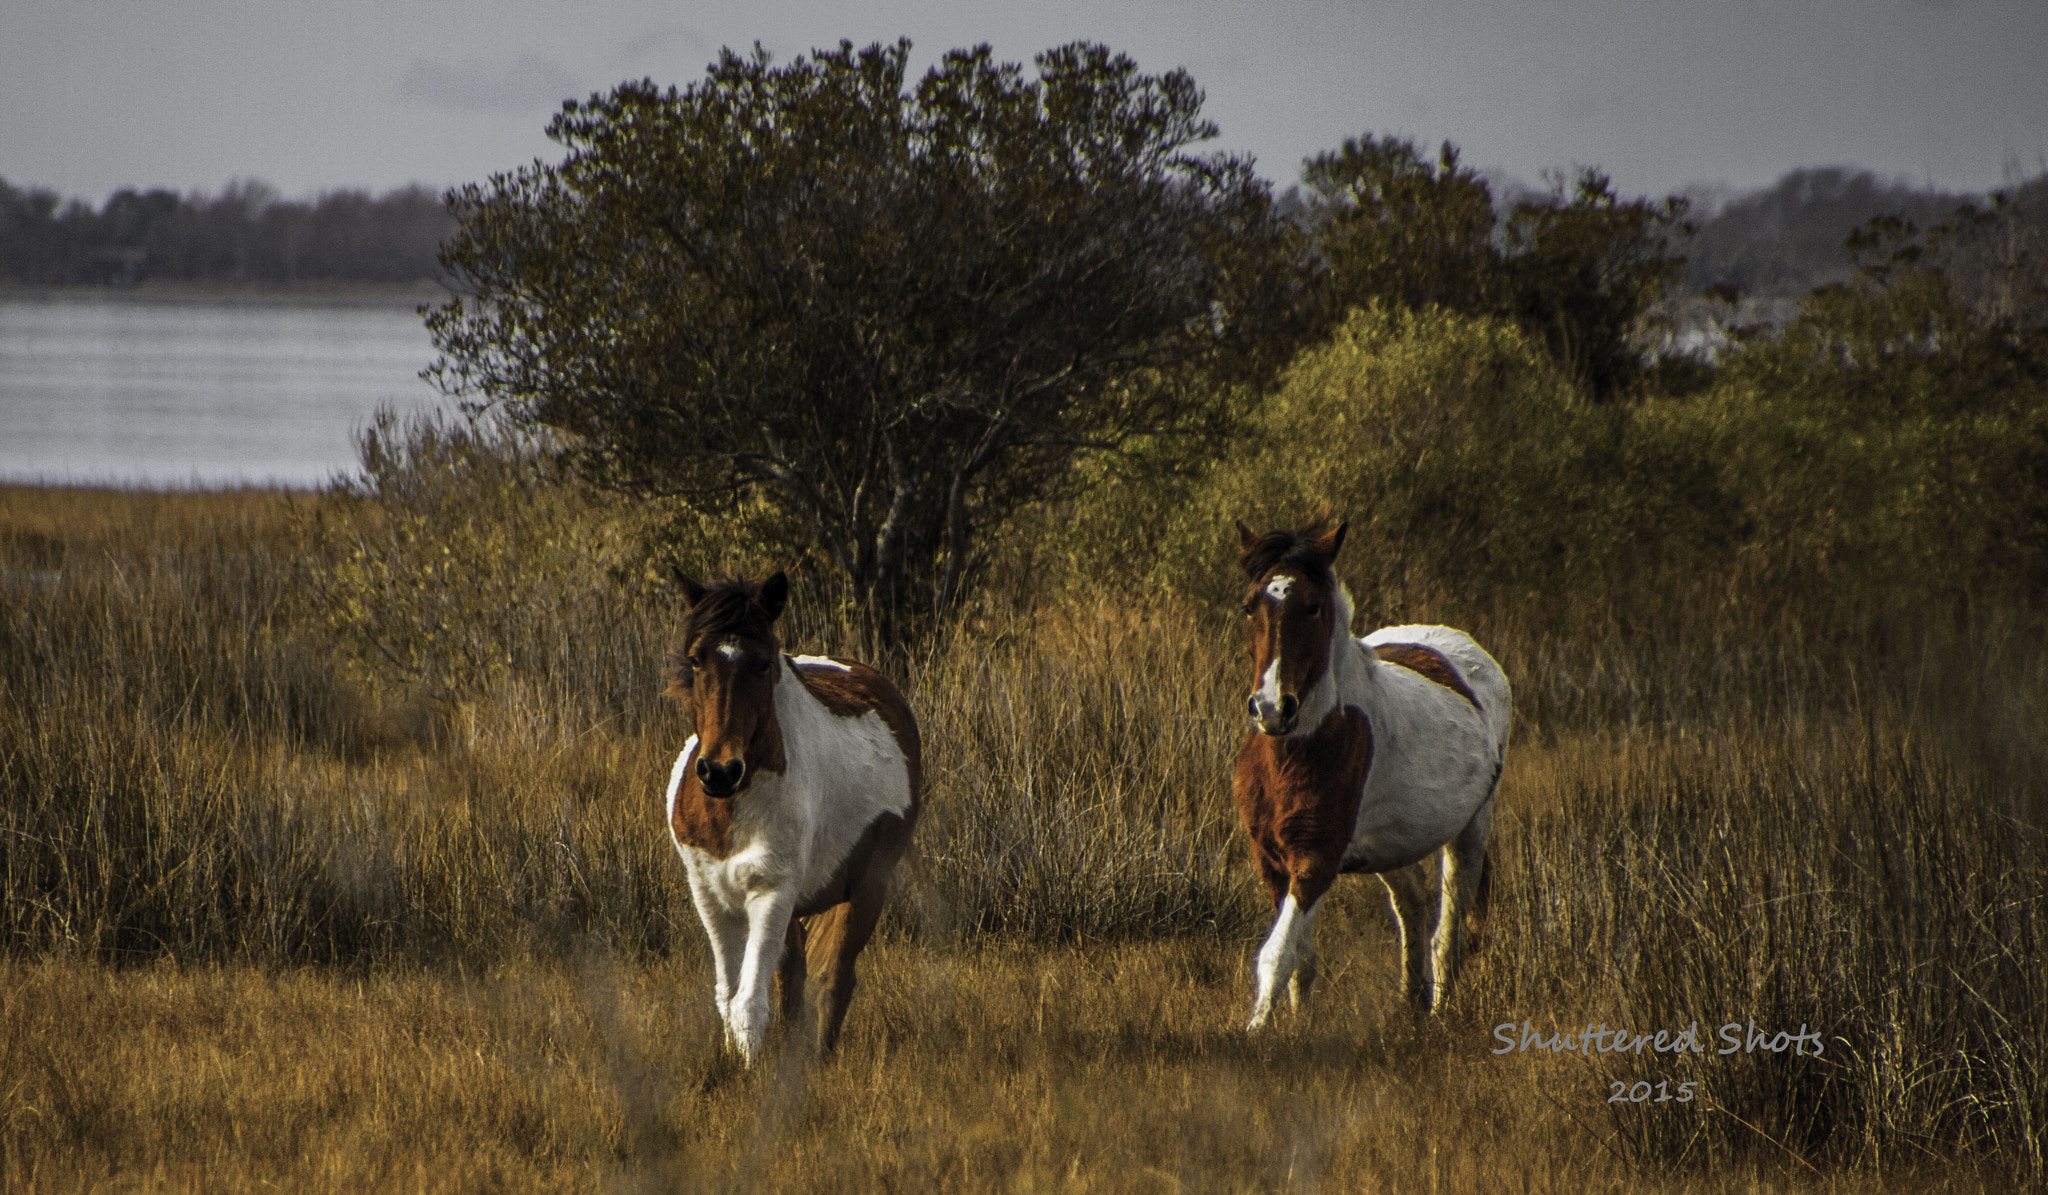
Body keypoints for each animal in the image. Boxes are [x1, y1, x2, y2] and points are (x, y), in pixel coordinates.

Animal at [661, 570, 921, 1064]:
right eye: (696, 660)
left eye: (764, 664)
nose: (720, 772)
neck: (733, 810)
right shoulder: (710, 896)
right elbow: (730, 995)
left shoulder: (772, 892)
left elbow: (749, 1003)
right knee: (794, 979)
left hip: (865, 889)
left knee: (834, 979)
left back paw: (819, 1057)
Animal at [1230, 519, 1511, 1027]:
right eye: (1249, 607)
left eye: (1313, 607)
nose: (1272, 709)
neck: (1297, 749)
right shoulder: (1272, 861)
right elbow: (1299, 957)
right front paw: (1295, 1028)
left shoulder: (1315, 860)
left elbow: (1277, 956)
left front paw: (1255, 1034)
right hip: (1394, 847)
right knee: (1412, 907)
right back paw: (1409, 1004)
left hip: (1471, 830)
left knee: (1448, 933)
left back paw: (1438, 1014)